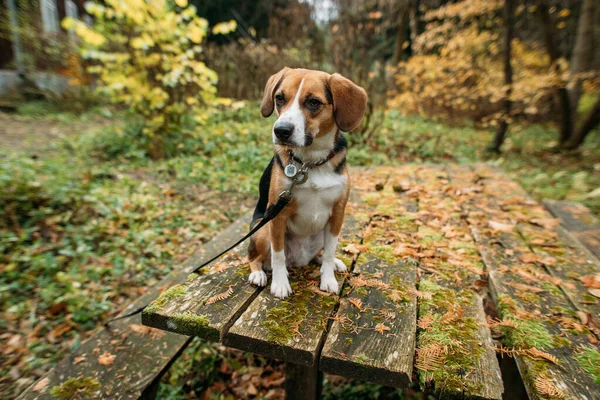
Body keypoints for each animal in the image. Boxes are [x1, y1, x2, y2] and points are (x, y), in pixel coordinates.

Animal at [246, 67, 368, 298]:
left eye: (313, 102)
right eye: (279, 98)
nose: (281, 130)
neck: (311, 163)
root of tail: (298, 261)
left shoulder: (337, 213)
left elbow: (329, 252)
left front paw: (328, 278)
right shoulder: (277, 215)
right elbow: (278, 255)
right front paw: (280, 284)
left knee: (320, 254)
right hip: (262, 227)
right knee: (255, 258)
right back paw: (258, 274)